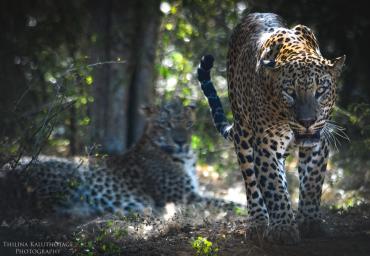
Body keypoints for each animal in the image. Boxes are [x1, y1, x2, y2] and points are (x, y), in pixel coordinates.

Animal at [0, 100, 240, 218]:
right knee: (41, 208)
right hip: (72, 172)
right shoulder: (185, 196)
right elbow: (224, 202)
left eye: (188, 125)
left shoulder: (192, 193)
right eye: (166, 124)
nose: (181, 141)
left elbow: (222, 198)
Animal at [198, 12, 346, 244]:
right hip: (243, 132)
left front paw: (309, 222)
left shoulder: (318, 144)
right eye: (290, 92)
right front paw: (283, 228)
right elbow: (274, 188)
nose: (307, 121)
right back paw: (258, 222)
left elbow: (312, 183)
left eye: (320, 90)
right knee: (251, 182)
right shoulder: (267, 146)